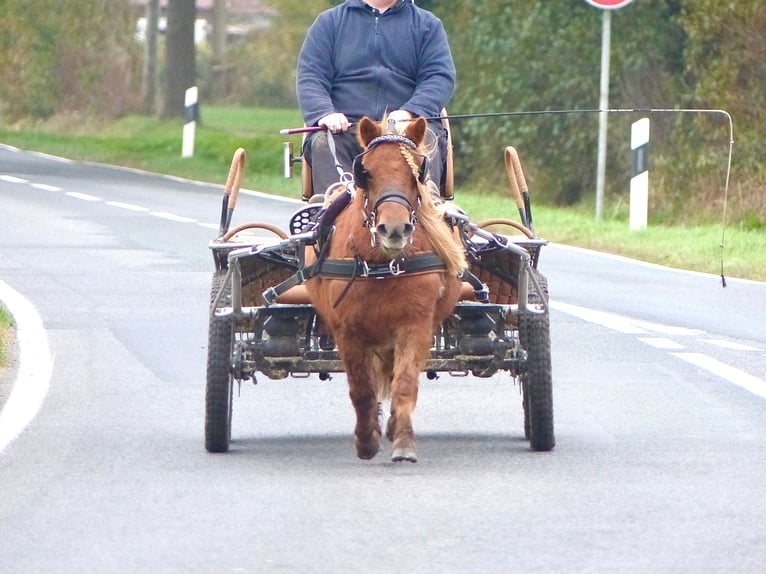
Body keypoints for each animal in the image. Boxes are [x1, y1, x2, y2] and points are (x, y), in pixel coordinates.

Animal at [308, 117, 468, 464]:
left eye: (417, 172)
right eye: (365, 172)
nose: (394, 229)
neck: (383, 263)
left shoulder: (415, 324)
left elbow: (404, 383)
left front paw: (404, 441)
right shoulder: (348, 330)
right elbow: (361, 389)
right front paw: (366, 440)